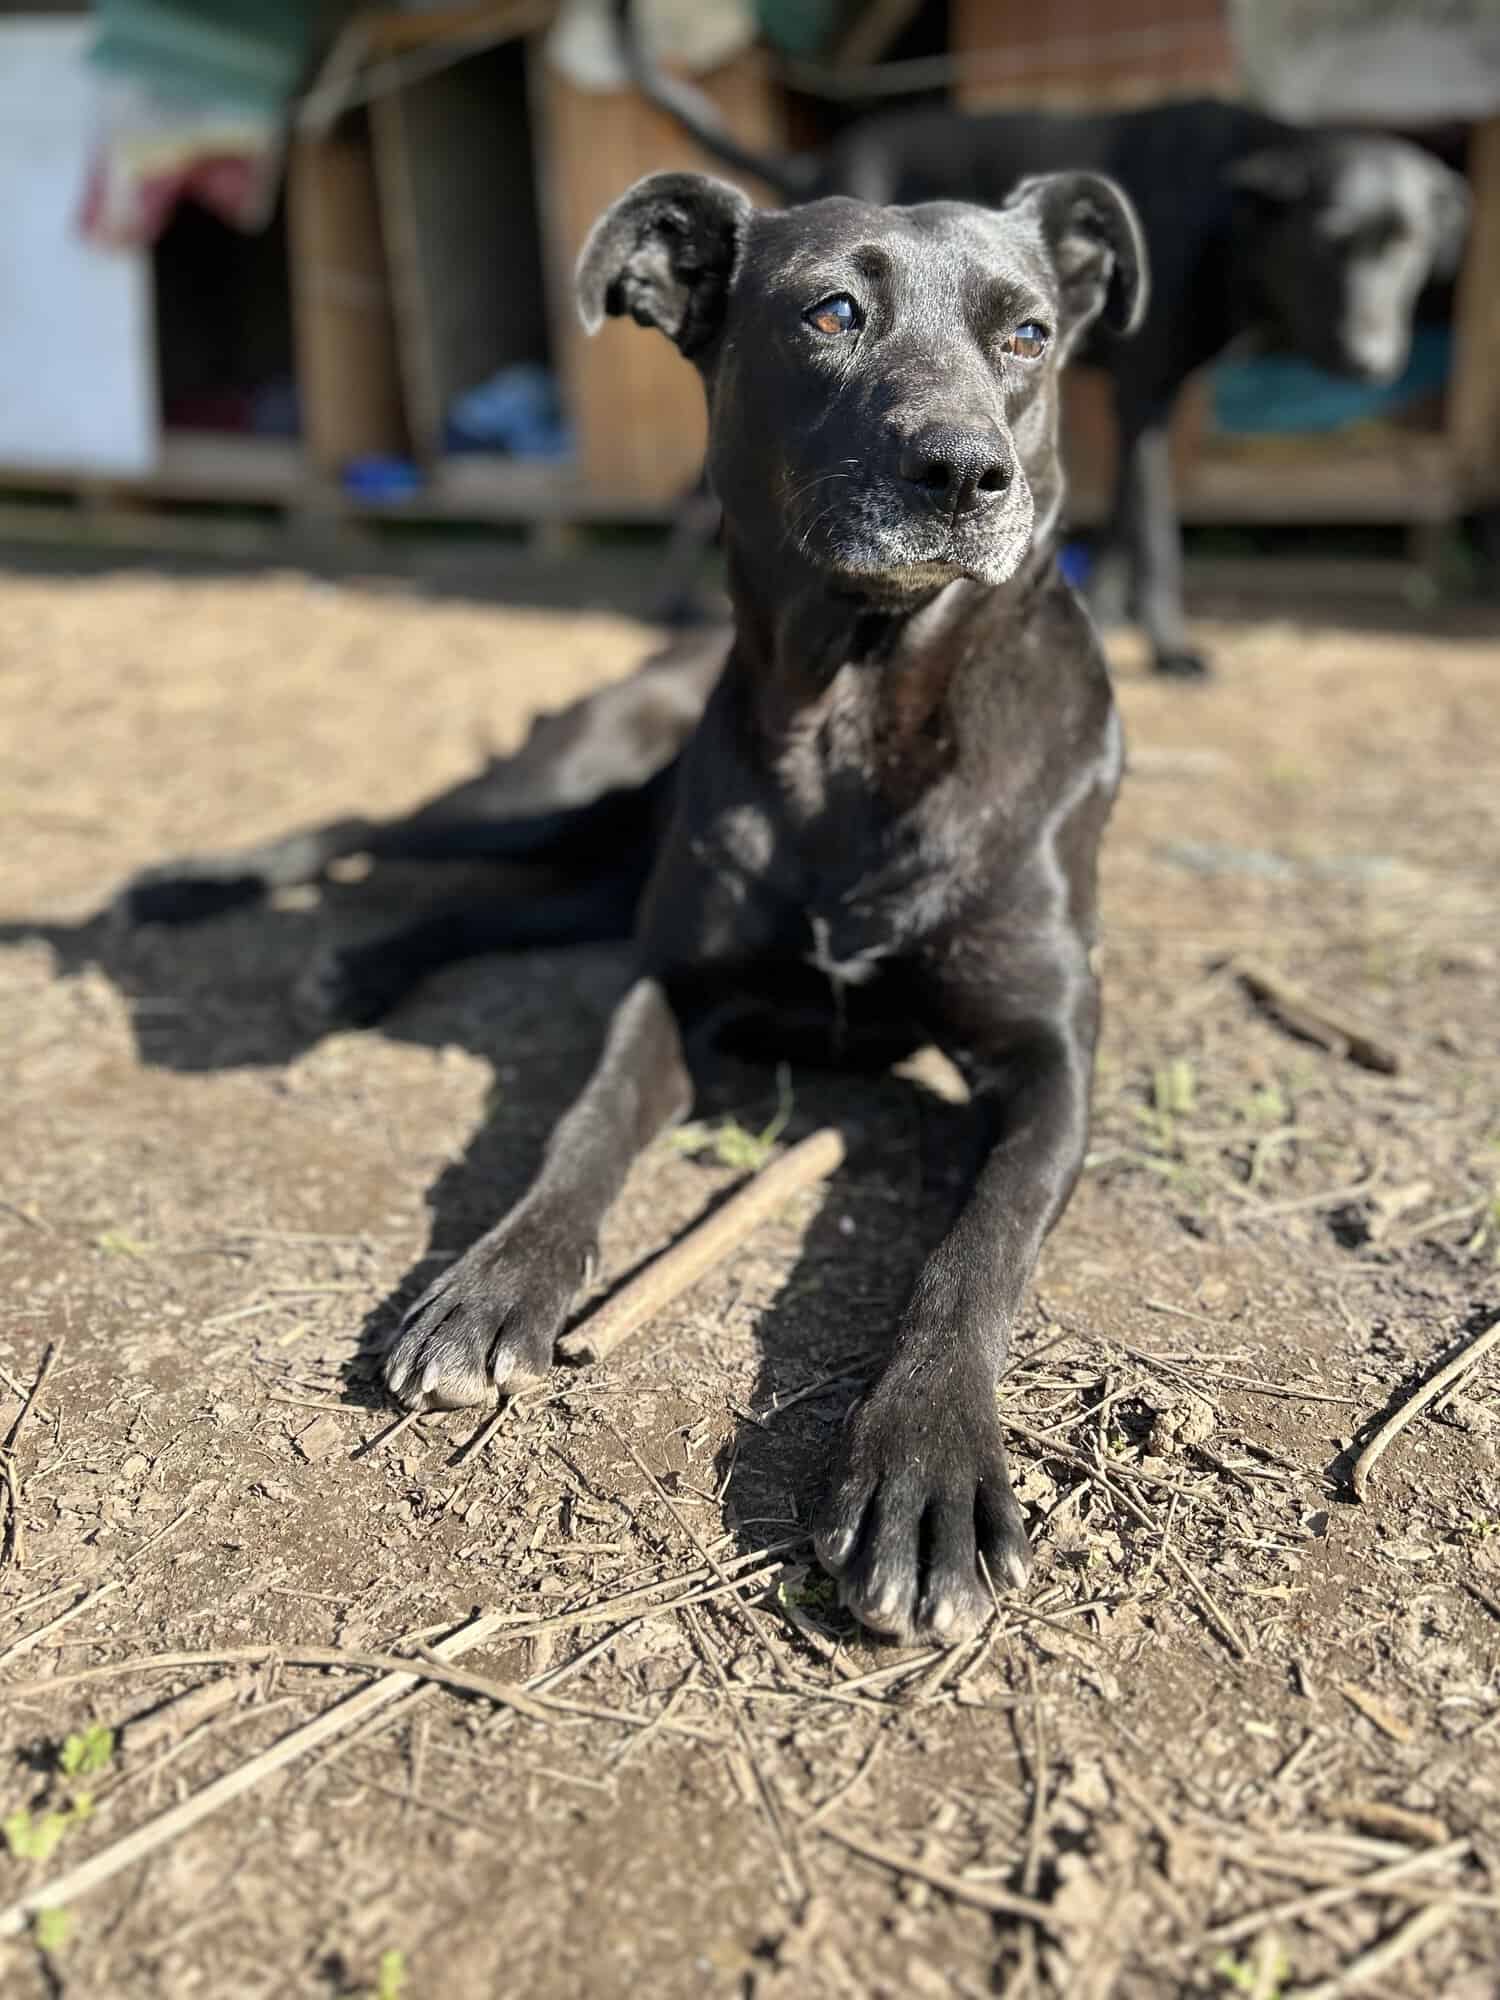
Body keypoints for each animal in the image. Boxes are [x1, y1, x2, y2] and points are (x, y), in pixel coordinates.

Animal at [129, 168, 1144, 1640]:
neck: (857, 717)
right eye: (831, 314)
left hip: (598, 869)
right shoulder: (670, 985)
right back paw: (201, 888)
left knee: (472, 907)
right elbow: (586, 1125)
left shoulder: (1047, 1058)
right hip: (558, 795)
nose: (964, 472)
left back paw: (358, 966)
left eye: (1027, 334)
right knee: (384, 831)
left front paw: (927, 1468)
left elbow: (977, 1251)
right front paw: (494, 1283)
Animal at [620, 5, 1472, 680]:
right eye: (1332, 240)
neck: (1227, 206)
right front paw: (1170, 645)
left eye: (1413, 247)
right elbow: (1156, 529)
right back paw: (667, 601)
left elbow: (1126, 522)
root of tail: (816, 158)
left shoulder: (1149, 404)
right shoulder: (1141, 394)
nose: (1374, 361)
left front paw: (1111, 613)